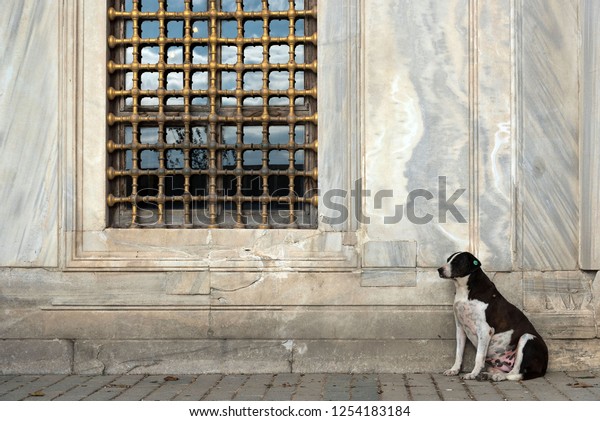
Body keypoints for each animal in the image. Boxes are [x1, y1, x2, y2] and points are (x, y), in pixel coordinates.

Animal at [436, 251, 548, 382]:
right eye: (448, 260)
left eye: (457, 262)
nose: (439, 270)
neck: (465, 290)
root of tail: (544, 367)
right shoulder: (460, 328)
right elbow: (459, 353)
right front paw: (454, 370)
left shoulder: (485, 330)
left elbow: (479, 357)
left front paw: (472, 374)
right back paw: (489, 375)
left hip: (527, 337)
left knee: (515, 372)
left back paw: (498, 376)